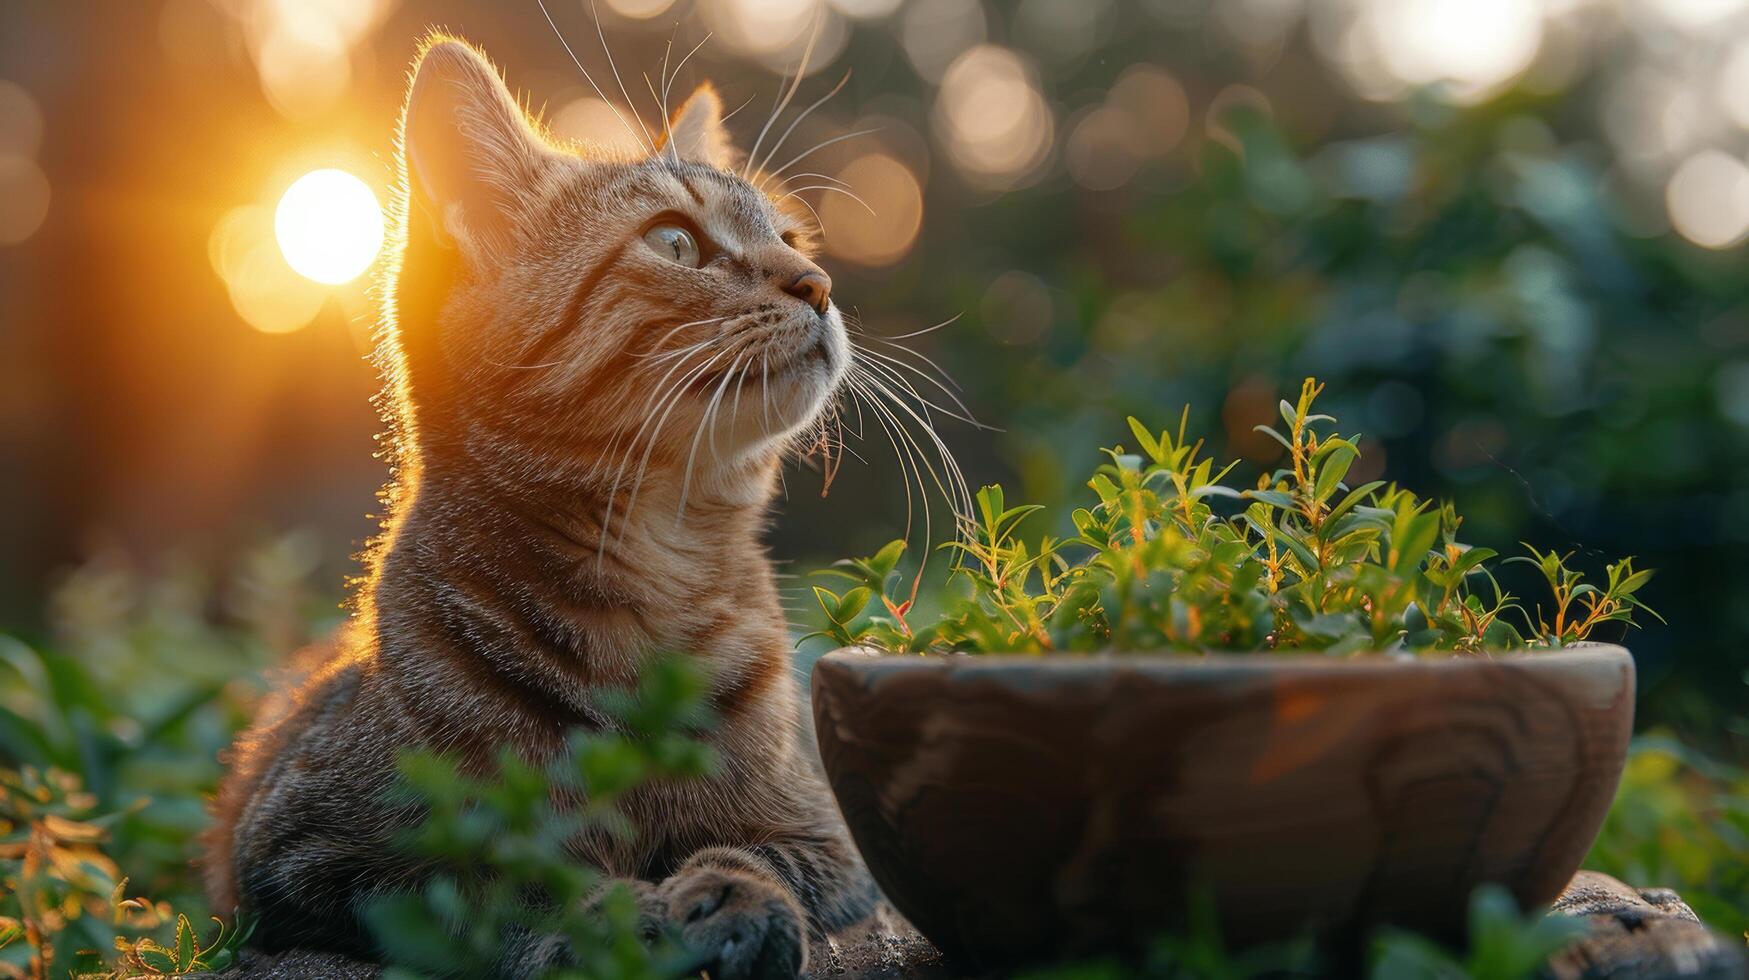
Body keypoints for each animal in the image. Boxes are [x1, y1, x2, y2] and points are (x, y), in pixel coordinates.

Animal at [202, 32, 881, 980]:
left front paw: (730, 895)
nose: (818, 282)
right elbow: (491, 877)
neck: (655, 578)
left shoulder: (828, 838)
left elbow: (756, 852)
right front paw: (611, 916)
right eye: (675, 242)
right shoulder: (301, 856)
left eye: (787, 236)